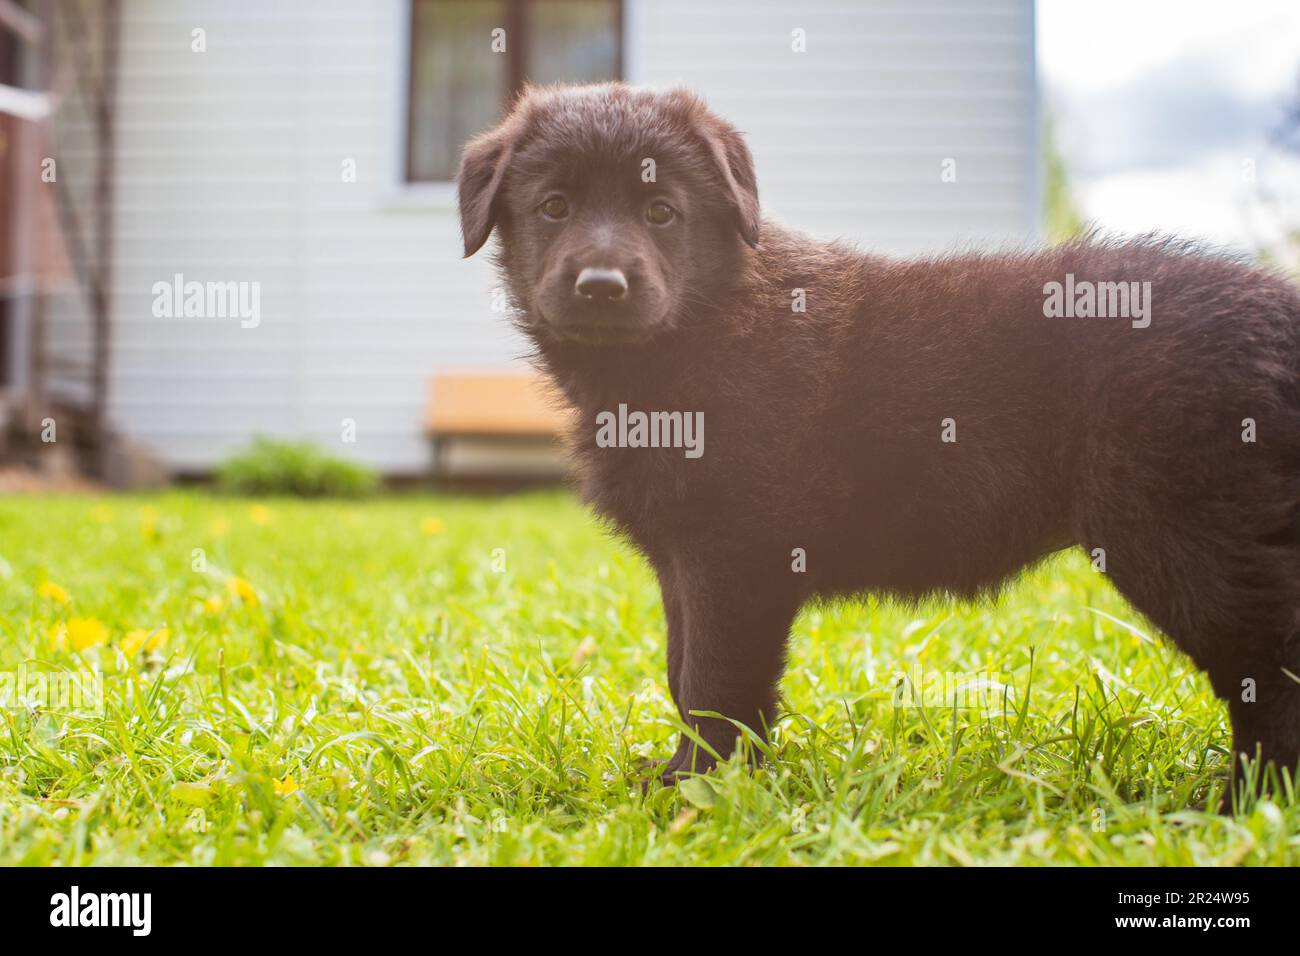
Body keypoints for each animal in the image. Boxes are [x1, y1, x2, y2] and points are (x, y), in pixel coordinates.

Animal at [457, 80, 1300, 790]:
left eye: (661, 211)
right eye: (554, 207)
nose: (601, 287)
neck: (697, 334)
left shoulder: (734, 555)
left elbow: (713, 679)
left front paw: (698, 789)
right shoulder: (682, 562)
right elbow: (681, 668)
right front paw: (697, 776)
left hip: (1184, 535)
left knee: (1270, 663)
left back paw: (1245, 798)